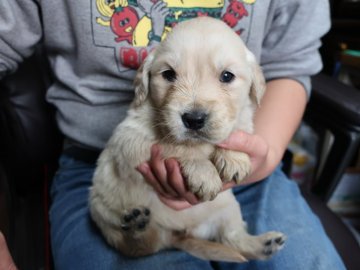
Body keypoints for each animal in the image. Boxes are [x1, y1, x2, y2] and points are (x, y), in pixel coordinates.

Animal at [90, 16, 286, 262]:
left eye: (227, 76)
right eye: (168, 74)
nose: (194, 119)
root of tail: (180, 235)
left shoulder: (242, 119)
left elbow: (237, 130)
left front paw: (234, 158)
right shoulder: (129, 139)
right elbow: (174, 145)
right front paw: (203, 171)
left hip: (228, 207)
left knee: (232, 238)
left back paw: (265, 244)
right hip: (101, 211)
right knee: (138, 247)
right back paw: (137, 226)